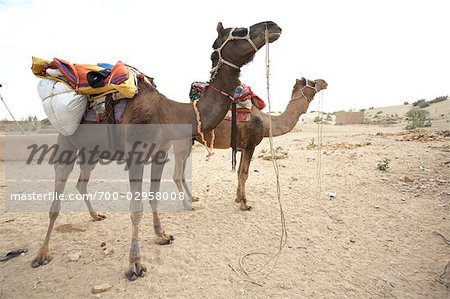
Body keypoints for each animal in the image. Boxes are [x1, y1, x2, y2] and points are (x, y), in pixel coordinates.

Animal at [30, 21, 282, 282]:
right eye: (240, 30)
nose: (273, 26)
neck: (168, 113)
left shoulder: (159, 155)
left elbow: (153, 198)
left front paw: (162, 236)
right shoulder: (136, 156)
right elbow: (136, 209)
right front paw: (135, 265)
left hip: (91, 153)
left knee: (82, 182)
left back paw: (95, 215)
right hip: (66, 144)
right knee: (56, 202)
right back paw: (41, 255)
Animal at [172, 78, 326, 212]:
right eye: (312, 82)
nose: (324, 82)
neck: (266, 123)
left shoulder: (242, 147)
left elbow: (239, 172)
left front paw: (238, 198)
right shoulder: (251, 145)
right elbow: (245, 174)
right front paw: (245, 205)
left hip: (189, 141)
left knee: (182, 171)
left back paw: (193, 198)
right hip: (182, 141)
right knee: (177, 175)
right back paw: (187, 205)